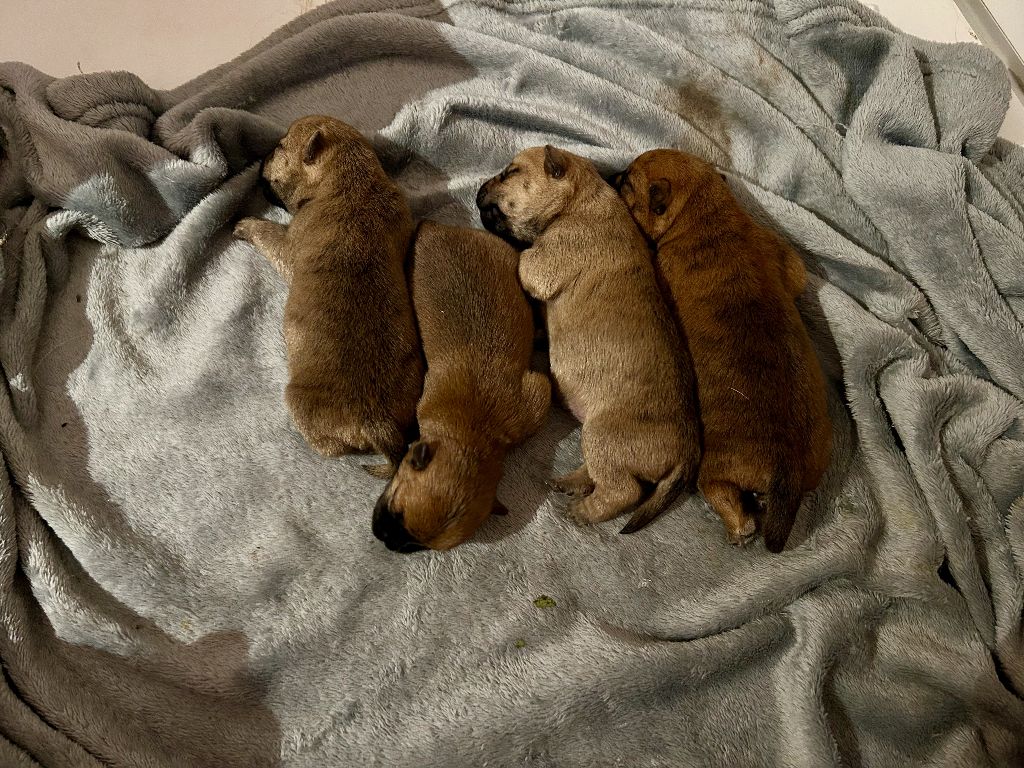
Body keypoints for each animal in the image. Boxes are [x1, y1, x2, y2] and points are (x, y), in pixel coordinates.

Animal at [234, 115, 419, 479]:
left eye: (280, 148)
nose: (260, 158)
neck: (353, 176)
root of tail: (378, 423)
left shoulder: (288, 246)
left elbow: (268, 233)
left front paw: (247, 224)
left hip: (298, 403)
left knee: (330, 448)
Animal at [475, 147, 700, 536]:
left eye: (510, 173)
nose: (476, 194)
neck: (580, 200)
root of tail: (687, 453)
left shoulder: (543, 262)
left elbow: (523, 257)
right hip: (599, 443)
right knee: (603, 477)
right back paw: (571, 483)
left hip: (601, 435)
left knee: (623, 491)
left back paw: (583, 512)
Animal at [610, 147, 827, 552]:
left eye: (628, 181)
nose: (612, 174)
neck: (706, 211)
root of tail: (787, 470)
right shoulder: (785, 258)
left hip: (715, 469)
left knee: (724, 496)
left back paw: (738, 530)